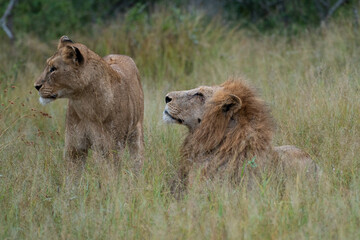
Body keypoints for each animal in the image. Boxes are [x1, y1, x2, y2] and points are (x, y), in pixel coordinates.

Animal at [34, 36, 144, 170]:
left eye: (53, 69)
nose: (36, 86)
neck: (86, 105)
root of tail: (118, 54)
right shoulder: (74, 148)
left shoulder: (111, 149)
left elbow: (110, 174)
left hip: (136, 134)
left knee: (137, 160)